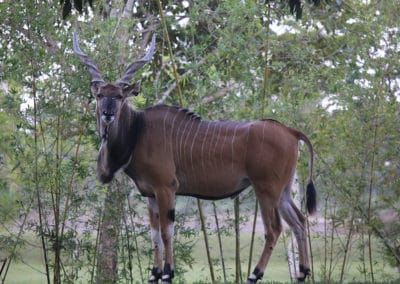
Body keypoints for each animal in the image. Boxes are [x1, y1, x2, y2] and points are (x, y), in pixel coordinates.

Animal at [72, 31, 316, 284]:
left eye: (120, 96)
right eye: (100, 95)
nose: (108, 114)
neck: (138, 131)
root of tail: (291, 131)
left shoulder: (166, 188)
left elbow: (166, 232)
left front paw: (167, 272)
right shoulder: (150, 194)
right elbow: (154, 234)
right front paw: (154, 273)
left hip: (266, 189)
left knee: (275, 228)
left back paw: (254, 274)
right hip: (283, 191)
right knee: (300, 222)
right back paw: (302, 272)